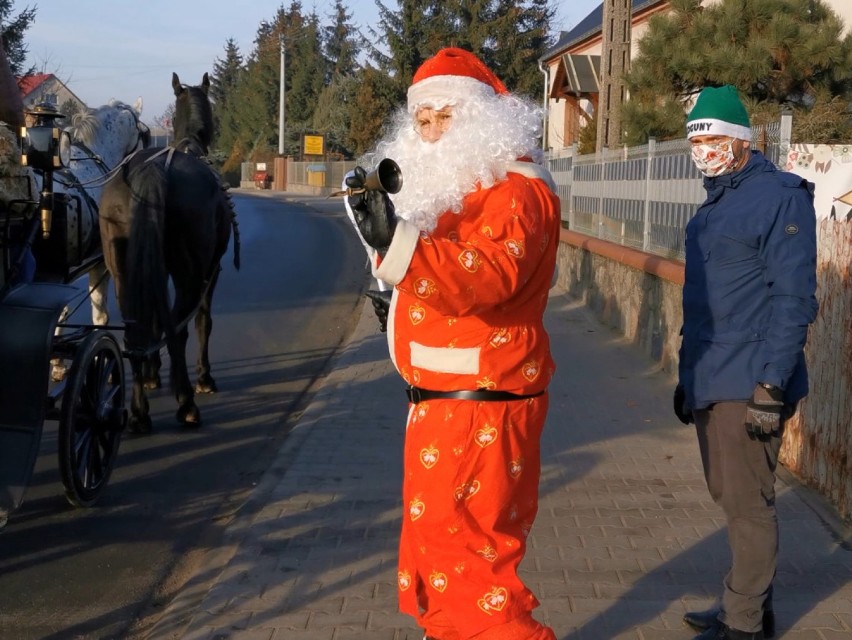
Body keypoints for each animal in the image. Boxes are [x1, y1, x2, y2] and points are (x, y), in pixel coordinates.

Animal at [100, 74, 240, 436]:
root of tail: (152, 171)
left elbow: (152, 317)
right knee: (179, 326)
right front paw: (204, 378)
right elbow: (202, 322)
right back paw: (187, 403)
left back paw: (139, 413)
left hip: (121, 272)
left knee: (137, 328)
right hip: (191, 275)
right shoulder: (210, 271)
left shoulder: (155, 269)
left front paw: (151, 375)